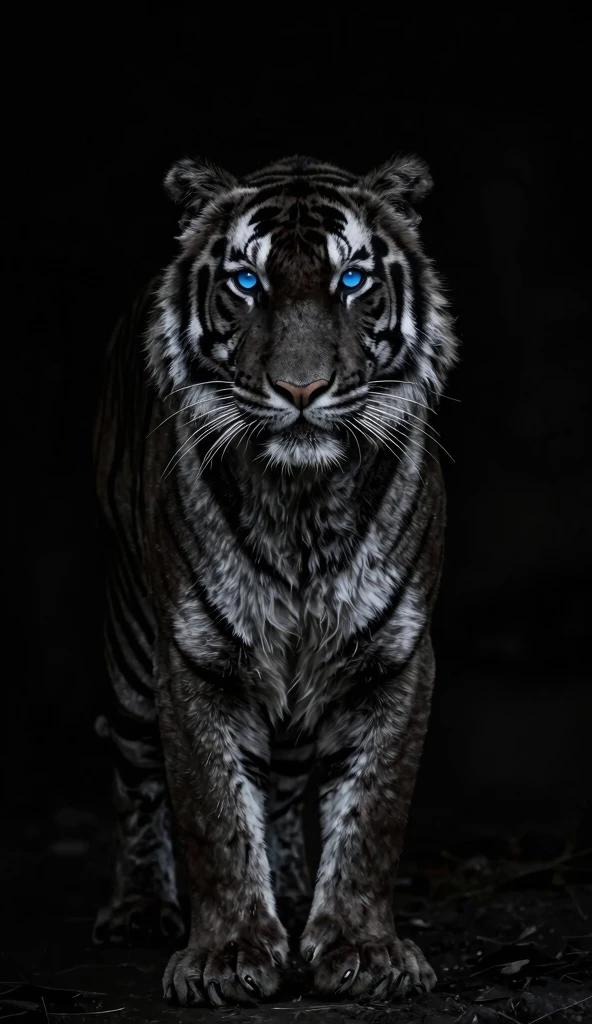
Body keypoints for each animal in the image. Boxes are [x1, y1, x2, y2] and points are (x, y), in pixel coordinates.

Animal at [92, 152, 458, 1006]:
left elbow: (371, 811)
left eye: (352, 280)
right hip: (130, 647)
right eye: (247, 282)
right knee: (134, 773)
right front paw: (228, 956)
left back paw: (292, 887)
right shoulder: (193, 658)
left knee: (288, 781)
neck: (302, 507)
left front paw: (361, 950)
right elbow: (215, 812)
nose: (299, 390)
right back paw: (139, 908)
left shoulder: (393, 657)